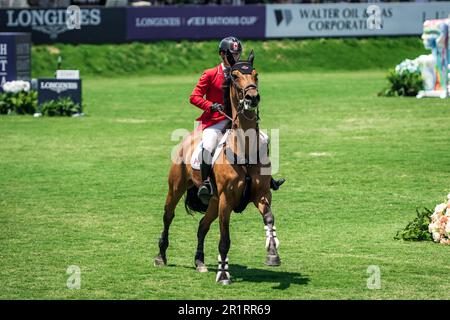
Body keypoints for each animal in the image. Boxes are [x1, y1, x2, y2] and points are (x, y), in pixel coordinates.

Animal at [155, 48, 282, 284]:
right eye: (235, 76)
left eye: (256, 75)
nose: (252, 97)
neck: (245, 148)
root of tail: (187, 140)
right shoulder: (226, 200)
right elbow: (225, 239)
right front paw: (223, 274)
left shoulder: (261, 194)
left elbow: (269, 218)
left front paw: (272, 254)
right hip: (177, 188)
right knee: (168, 216)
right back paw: (161, 256)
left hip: (212, 200)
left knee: (202, 225)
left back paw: (199, 262)